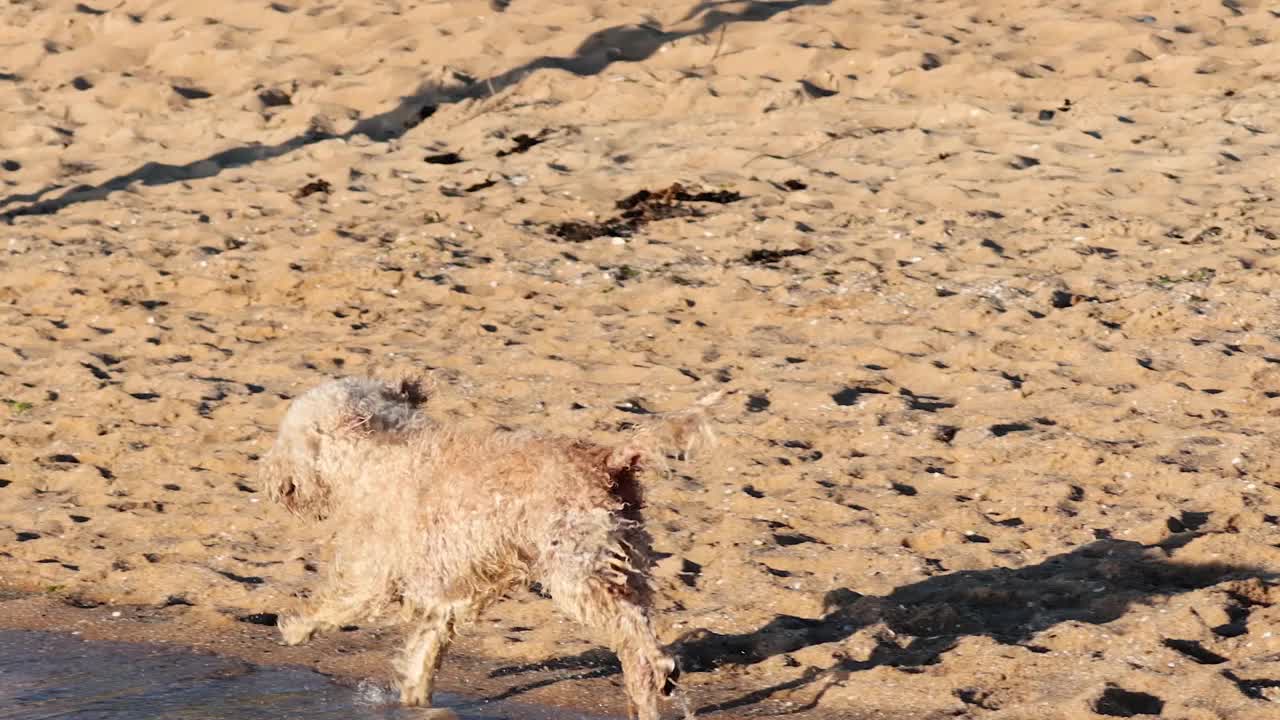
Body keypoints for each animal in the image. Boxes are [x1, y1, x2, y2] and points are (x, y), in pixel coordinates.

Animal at [259, 376, 721, 717]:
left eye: (287, 436)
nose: (270, 479)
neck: (378, 455)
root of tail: (610, 460)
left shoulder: (372, 574)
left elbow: (335, 605)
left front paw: (295, 628)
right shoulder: (446, 595)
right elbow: (426, 648)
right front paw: (415, 699)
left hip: (579, 574)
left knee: (637, 642)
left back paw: (654, 674)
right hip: (624, 565)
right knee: (640, 633)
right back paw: (652, 687)